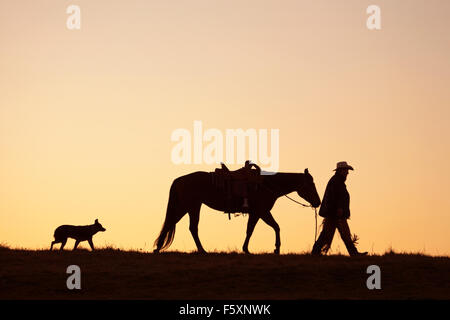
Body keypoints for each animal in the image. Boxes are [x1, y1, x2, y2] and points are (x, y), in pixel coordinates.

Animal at [154, 169, 320, 254]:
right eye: (311, 185)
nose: (318, 202)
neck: (267, 184)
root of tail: (180, 179)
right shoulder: (261, 211)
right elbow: (263, 228)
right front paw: (274, 248)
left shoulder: (259, 212)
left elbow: (260, 228)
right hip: (190, 206)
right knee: (184, 226)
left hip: (190, 206)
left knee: (179, 225)